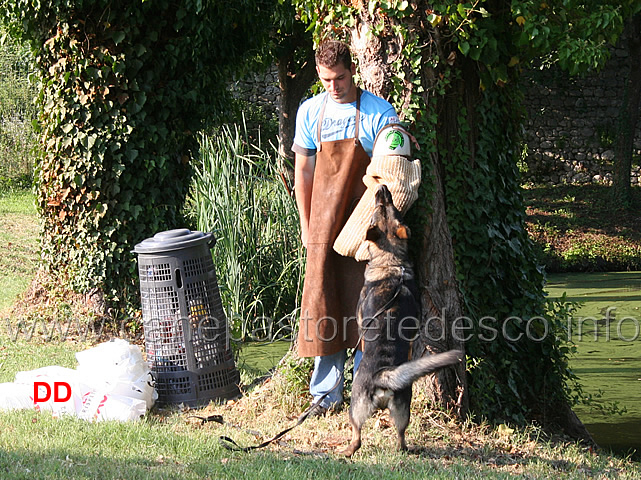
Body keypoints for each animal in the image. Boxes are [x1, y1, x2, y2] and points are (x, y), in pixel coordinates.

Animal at [342, 185, 462, 458]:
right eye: (389, 206)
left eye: (380, 208)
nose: (382, 188)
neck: (392, 263)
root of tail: (384, 377)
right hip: (402, 409)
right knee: (400, 436)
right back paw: (404, 449)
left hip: (356, 406)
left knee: (357, 436)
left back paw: (347, 450)